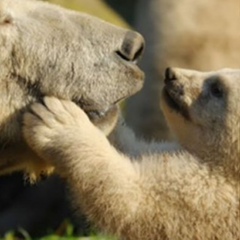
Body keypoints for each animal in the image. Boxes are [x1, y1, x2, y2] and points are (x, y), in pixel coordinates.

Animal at [23, 68, 239, 240]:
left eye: (217, 89)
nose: (171, 74)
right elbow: (135, 151)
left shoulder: (209, 204)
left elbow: (136, 202)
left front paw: (60, 122)